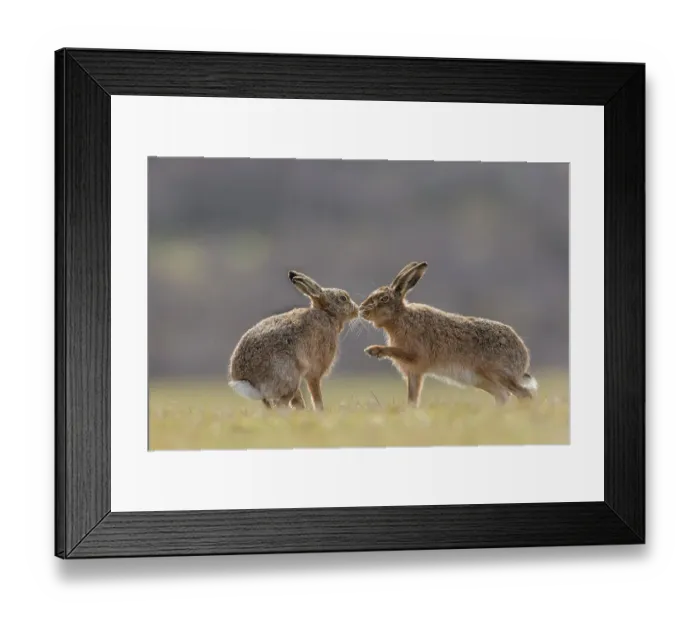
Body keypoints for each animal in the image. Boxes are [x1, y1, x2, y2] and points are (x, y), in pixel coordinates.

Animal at [228, 270, 359, 411]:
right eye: (343, 298)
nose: (357, 310)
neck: (328, 314)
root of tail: (246, 379)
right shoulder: (315, 370)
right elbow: (315, 392)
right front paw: (320, 410)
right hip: (288, 377)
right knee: (281, 404)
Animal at [359, 261, 538, 406]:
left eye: (384, 299)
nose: (361, 309)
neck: (400, 318)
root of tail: (523, 357)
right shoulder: (414, 373)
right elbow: (412, 398)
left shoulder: (416, 355)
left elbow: (397, 351)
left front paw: (374, 350)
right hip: (483, 380)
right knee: (503, 396)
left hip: (498, 374)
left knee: (524, 394)